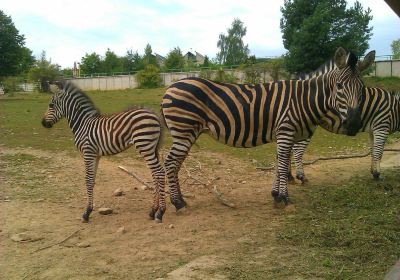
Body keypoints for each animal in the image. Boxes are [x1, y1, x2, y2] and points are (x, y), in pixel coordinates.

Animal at [41, 81, 166, 223]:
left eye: (51, 105)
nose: (43, 123)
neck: (82, 124)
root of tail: (153, 114)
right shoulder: (96, 155)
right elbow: (92, 181)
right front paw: (89, 210)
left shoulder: (88, 152)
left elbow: (88, 180)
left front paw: (86, 213)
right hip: (151, 148)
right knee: (155, 174)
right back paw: (153, 210)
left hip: (144, 146)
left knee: (159, 172)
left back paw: (160, 212)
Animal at [159, 47, 376, 218]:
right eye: (339, 86)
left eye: (362, 88)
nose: (354, 124)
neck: (303, 100)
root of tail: (170, 87)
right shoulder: (286, 131)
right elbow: (282, 163)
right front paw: (286, 199)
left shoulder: (285, 134)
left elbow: (280, 162)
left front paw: (276, 196)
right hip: (184, 131)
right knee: (170, 163)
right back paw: (178, 204)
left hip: (186, 133)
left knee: (175, 164)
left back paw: (181, 201)